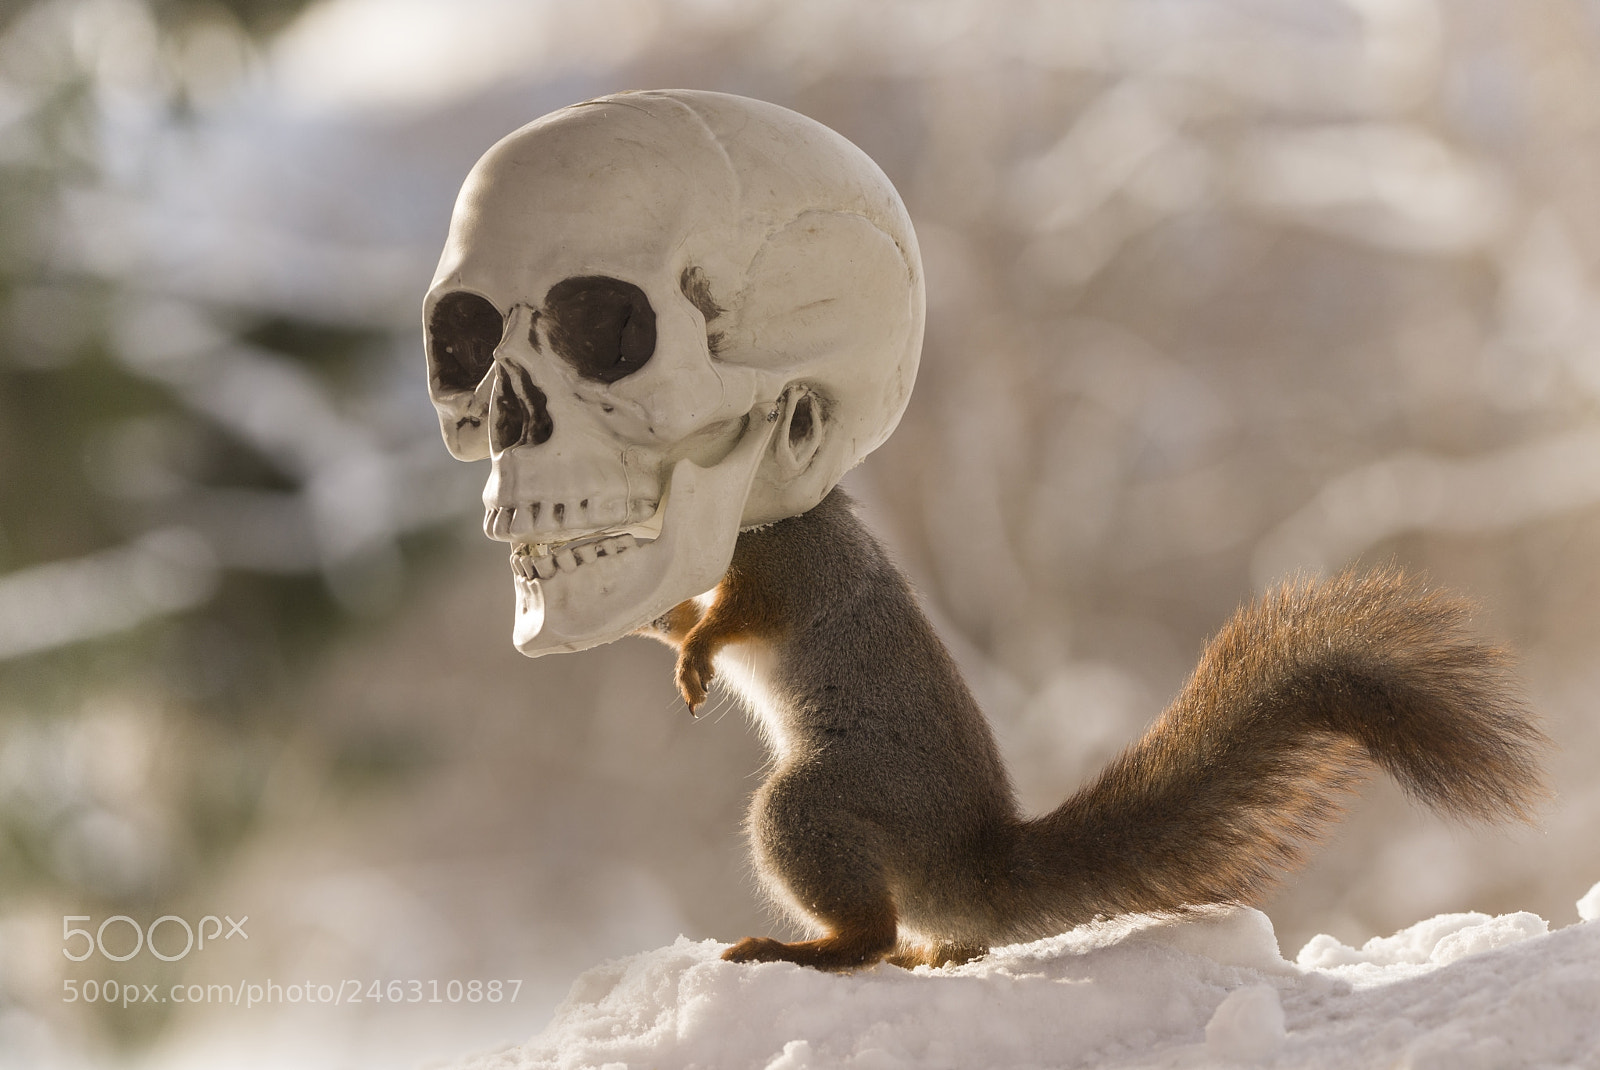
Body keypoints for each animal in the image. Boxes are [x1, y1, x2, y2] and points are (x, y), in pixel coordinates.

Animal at [638, 487, 1548, 971]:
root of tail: (974, 863)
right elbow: (691, 612)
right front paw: (657, 622)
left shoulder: (795, 561)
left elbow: (743, 613)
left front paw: (695, 652)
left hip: (818, 804)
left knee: (869, 931)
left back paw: (795, 950)